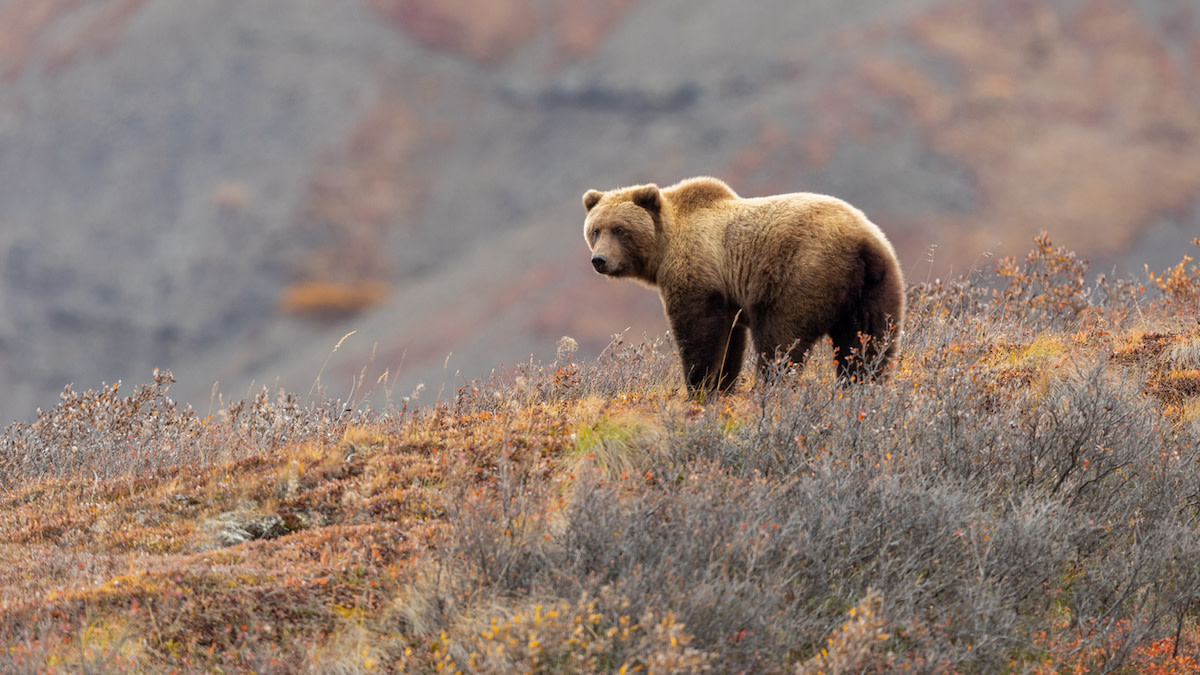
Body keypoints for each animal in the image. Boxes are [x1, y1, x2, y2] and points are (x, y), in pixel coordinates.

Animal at [582, 176, 904, 394]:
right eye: (595, 230)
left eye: (620, 230)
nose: (599, 260)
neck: (665, 246)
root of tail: (861, 243)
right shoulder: (727, 296)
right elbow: (730, 342)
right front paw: (722, 386)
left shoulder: (698, 272)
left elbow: (699, 333)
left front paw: (699, 387)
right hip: (875, 288)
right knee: (869, 342)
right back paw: (862, 386)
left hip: (800, 274)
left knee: (780, 340)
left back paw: (772, 387)